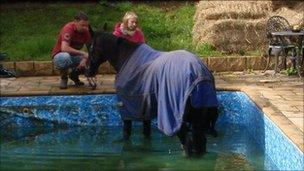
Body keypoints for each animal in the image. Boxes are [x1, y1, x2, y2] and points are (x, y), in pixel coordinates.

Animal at [85, 28, 218, 158]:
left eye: (90, 47)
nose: (87, 71)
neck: (126, 58)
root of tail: (199, 73)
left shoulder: (127, 111)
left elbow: (126, 134)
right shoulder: (145, 111)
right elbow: (146, 134)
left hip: (177, 121)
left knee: (188, 145)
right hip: (198, 122)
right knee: (200, 144)